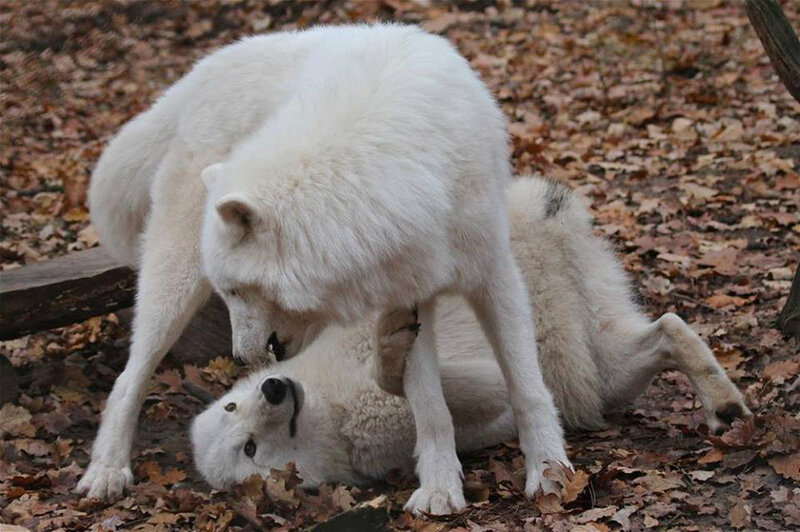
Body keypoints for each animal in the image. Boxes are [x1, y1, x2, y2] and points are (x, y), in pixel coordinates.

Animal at [81, 24, 566, 514]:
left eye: (234, 291)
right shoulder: (413, 296)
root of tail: (201, 72)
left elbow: (527, 388)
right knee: (128, 378)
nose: (239, 359)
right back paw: (106, 470)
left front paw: (548, 471)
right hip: (175, 284)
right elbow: (431, 411)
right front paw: (440, 489)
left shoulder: (485, 276)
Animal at [191, 177, 751, 490]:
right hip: (590, 367)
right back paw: (725, 405)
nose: (273, 387)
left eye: (231, 406)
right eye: (247, 449)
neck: (333, 407)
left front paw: (392, 338)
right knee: (663, 332)